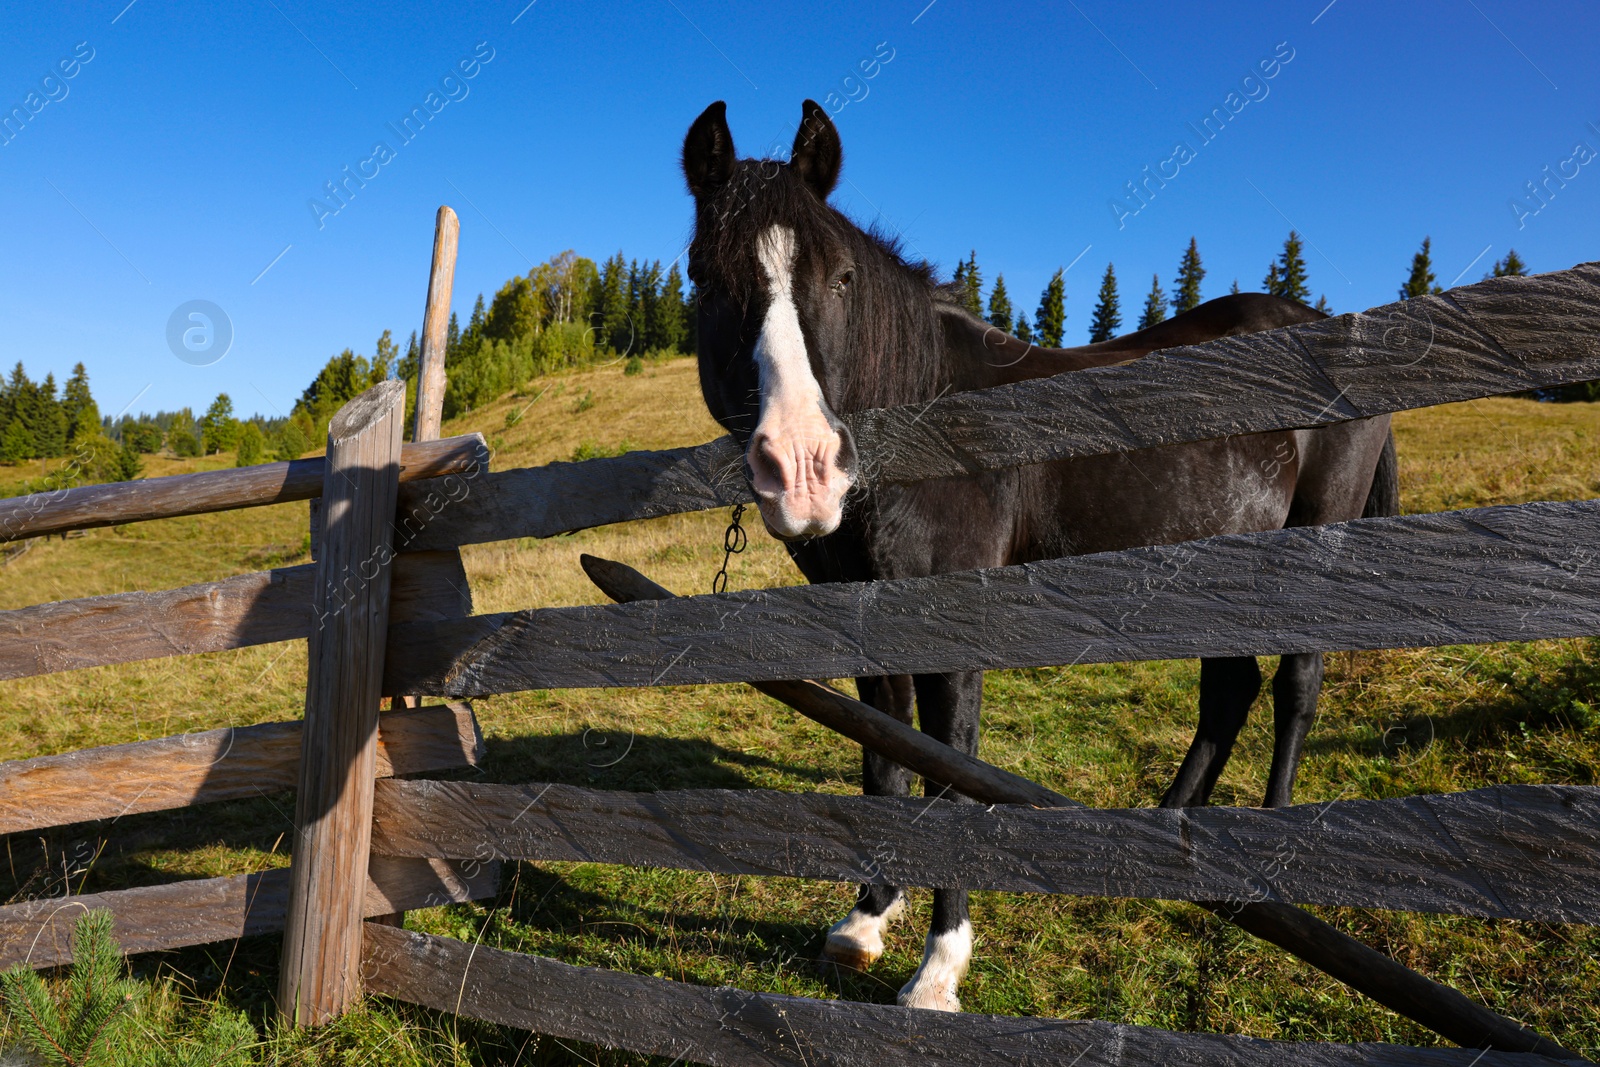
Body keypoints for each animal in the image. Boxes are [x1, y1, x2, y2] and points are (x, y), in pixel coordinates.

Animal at [681, 102, 1395, 1017]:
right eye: (705, 277)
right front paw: (868, 916)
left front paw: (939, 967)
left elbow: (948, 770)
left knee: (1297, 685)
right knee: (1231, 688)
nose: (803, 466)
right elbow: (885, 756)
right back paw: (1166, 839)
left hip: (1309, 546)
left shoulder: (949, 628)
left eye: (840, 278)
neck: (929, 428)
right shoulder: (870, 623)